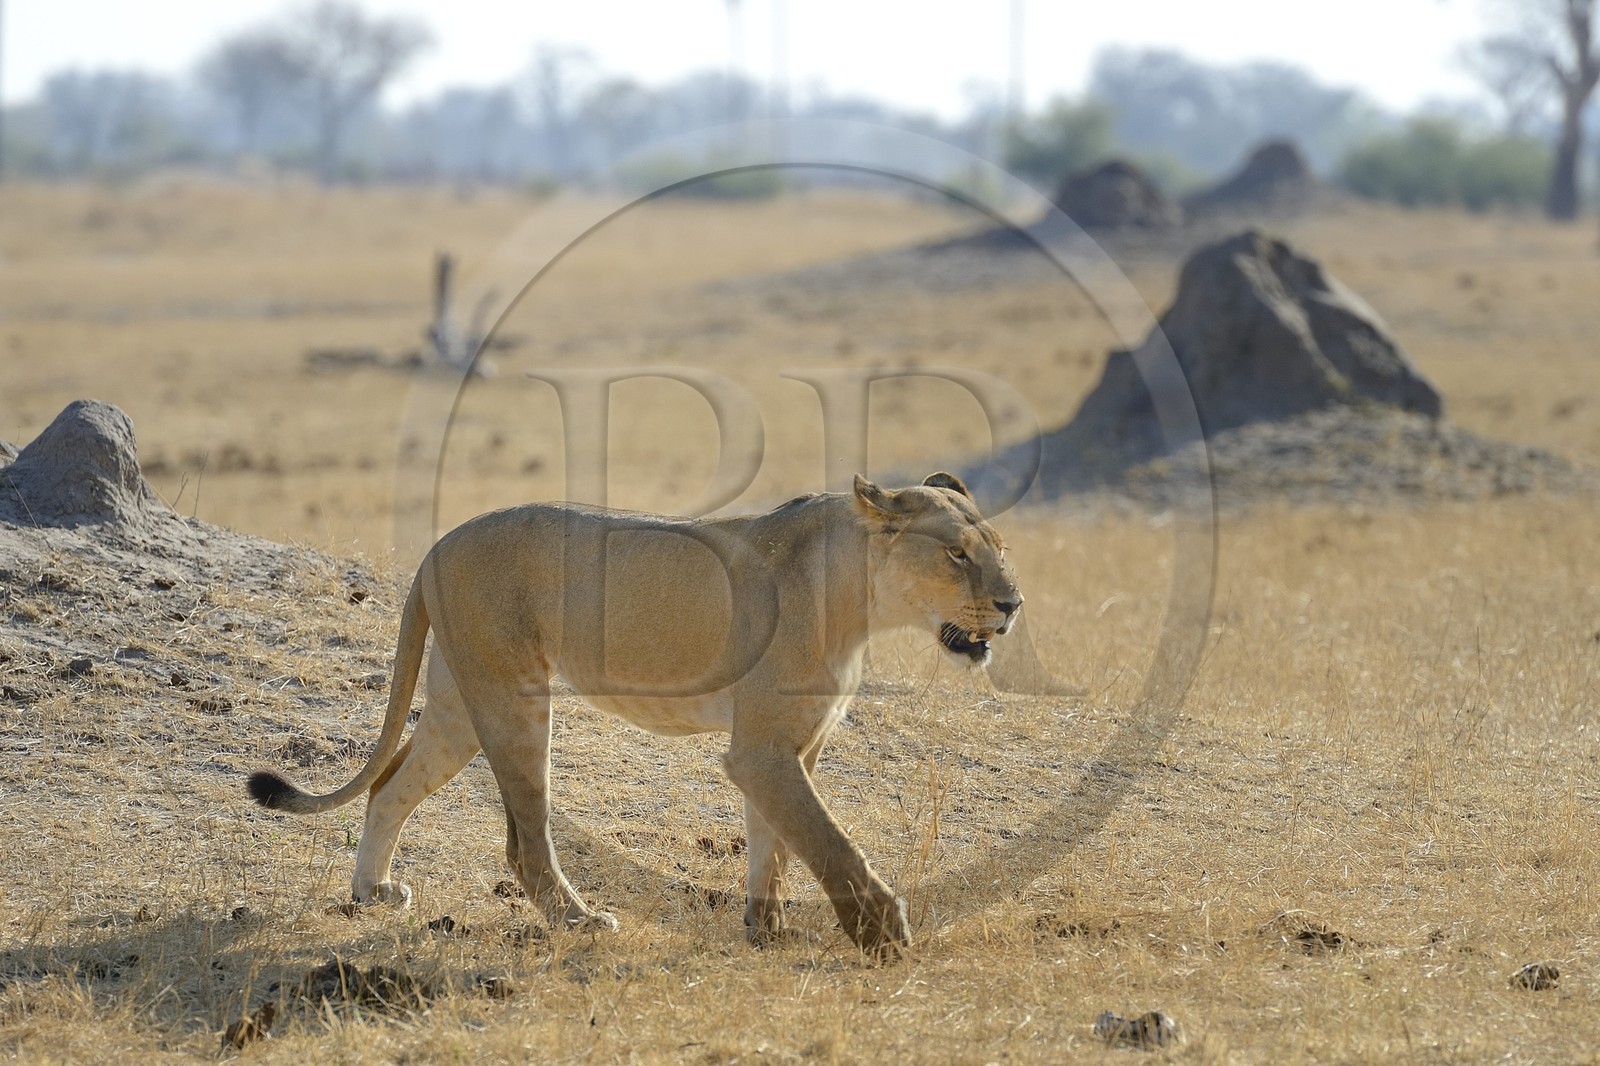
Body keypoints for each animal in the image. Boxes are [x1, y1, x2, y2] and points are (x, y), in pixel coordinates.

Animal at [247, 472, 1022, 958]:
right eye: (957, 554)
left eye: (1000, 552)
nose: (1013, 605)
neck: (860, 605)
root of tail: (437, 545)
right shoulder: (760, 751)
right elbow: (828, 840)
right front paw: (884, 935)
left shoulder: (791, 749)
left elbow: (774, 842)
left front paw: (766, 930)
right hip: (513, 702)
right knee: (525, 846)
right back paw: (582, 920)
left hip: (458, 708)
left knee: (389, 786)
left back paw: (372, 893)